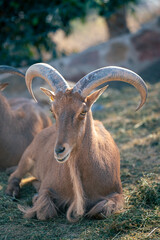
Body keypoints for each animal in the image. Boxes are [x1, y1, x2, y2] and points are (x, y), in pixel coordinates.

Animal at [6, 63, 147, 221]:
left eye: (83, 111)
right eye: (52, 110)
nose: (59, 151)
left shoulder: (117, 193)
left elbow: (100, 211)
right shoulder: (47, 188)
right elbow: (44, 211)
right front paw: (36, 198)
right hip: (27, 157)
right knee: (14, 175)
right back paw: (13, 191)